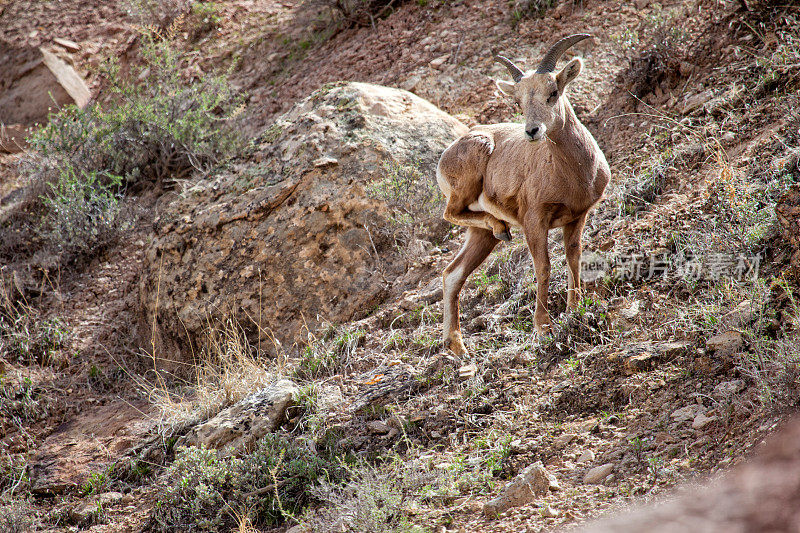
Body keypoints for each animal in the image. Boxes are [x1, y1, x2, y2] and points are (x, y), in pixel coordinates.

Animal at [434, 35, 608, 356]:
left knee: (453, 273)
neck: (574, 174)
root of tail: (444, 157)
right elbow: (543, 268)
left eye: (553, 92)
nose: (532, 131)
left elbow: (573, 258)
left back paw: (458, 347)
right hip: (471, 176)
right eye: (519, 101)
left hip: (480, 238)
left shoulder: (577, 218)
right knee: (450, 214)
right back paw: (500, 225)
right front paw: (542, 329)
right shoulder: (534, 221)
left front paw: (575, 311)